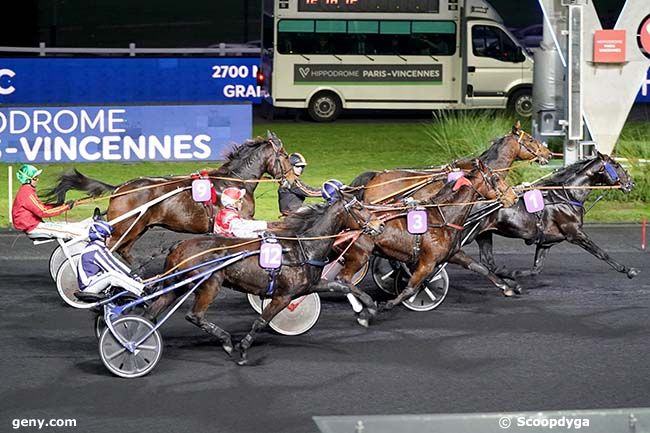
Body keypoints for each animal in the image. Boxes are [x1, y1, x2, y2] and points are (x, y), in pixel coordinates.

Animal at [43, 132, 292, 262]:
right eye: (285, 155)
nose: (291, 177)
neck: (234, 181)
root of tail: (120, 189)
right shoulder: (240, 221)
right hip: (125, 228)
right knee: (107, 249)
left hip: (138, 227)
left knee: (124, 251)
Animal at [147, 191, 384, 362]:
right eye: (359, 207)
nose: (379, 224)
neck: (303, 248)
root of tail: (178, 245)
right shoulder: (283, 296)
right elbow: (261, 321)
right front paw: (243, 349)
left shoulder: (311, 285)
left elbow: (344, 286)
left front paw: (367, 310)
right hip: (209, 284)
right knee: (194, 315)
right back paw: (226, 341)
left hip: (178, 283)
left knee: (153, 310)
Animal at [470, 152, 636, 278]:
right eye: (616, 165)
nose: (631, 183)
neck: (568, 195)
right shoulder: (575, 234)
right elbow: (601, 253)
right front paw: (628, 270)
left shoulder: (546, 242)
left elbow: (535, 269)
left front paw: (512, 273)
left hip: (484, 234)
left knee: (488, 262)